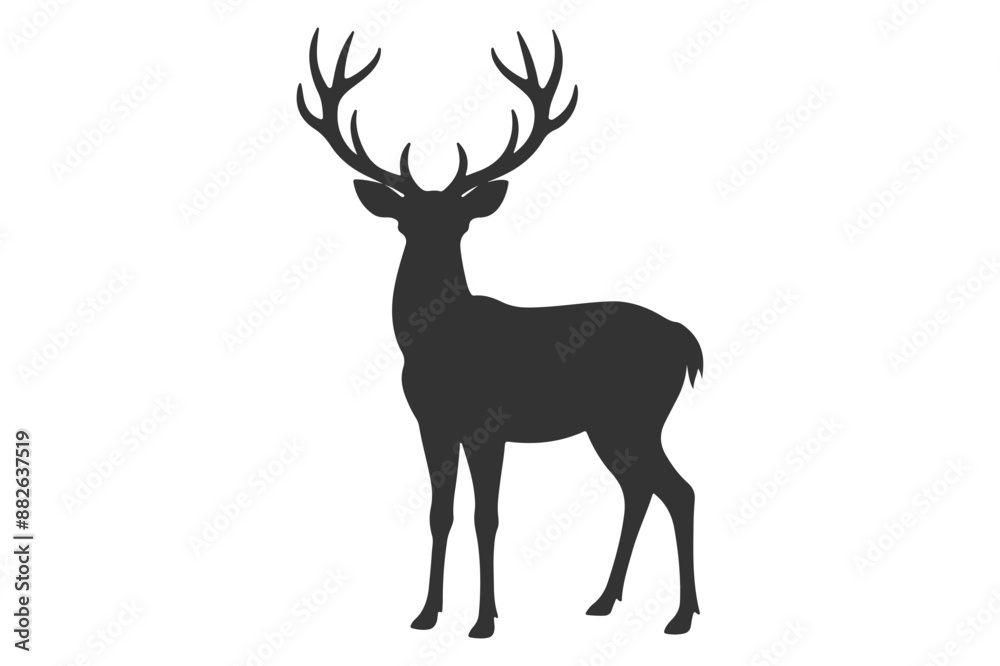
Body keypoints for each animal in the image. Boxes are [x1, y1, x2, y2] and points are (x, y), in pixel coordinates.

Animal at [297, 29, 703, 639]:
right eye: (406, 220)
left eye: (460, 222)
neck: (438, 346)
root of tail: (683, 338)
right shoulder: (432, 425)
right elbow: (441, 513)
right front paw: (426, 613)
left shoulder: (488, 425)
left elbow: (485, 516)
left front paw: (485, 620)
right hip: (613, 427)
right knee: (641, 490)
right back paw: (605, 600)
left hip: (634, 416)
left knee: (678, 491)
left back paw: (679, 616)